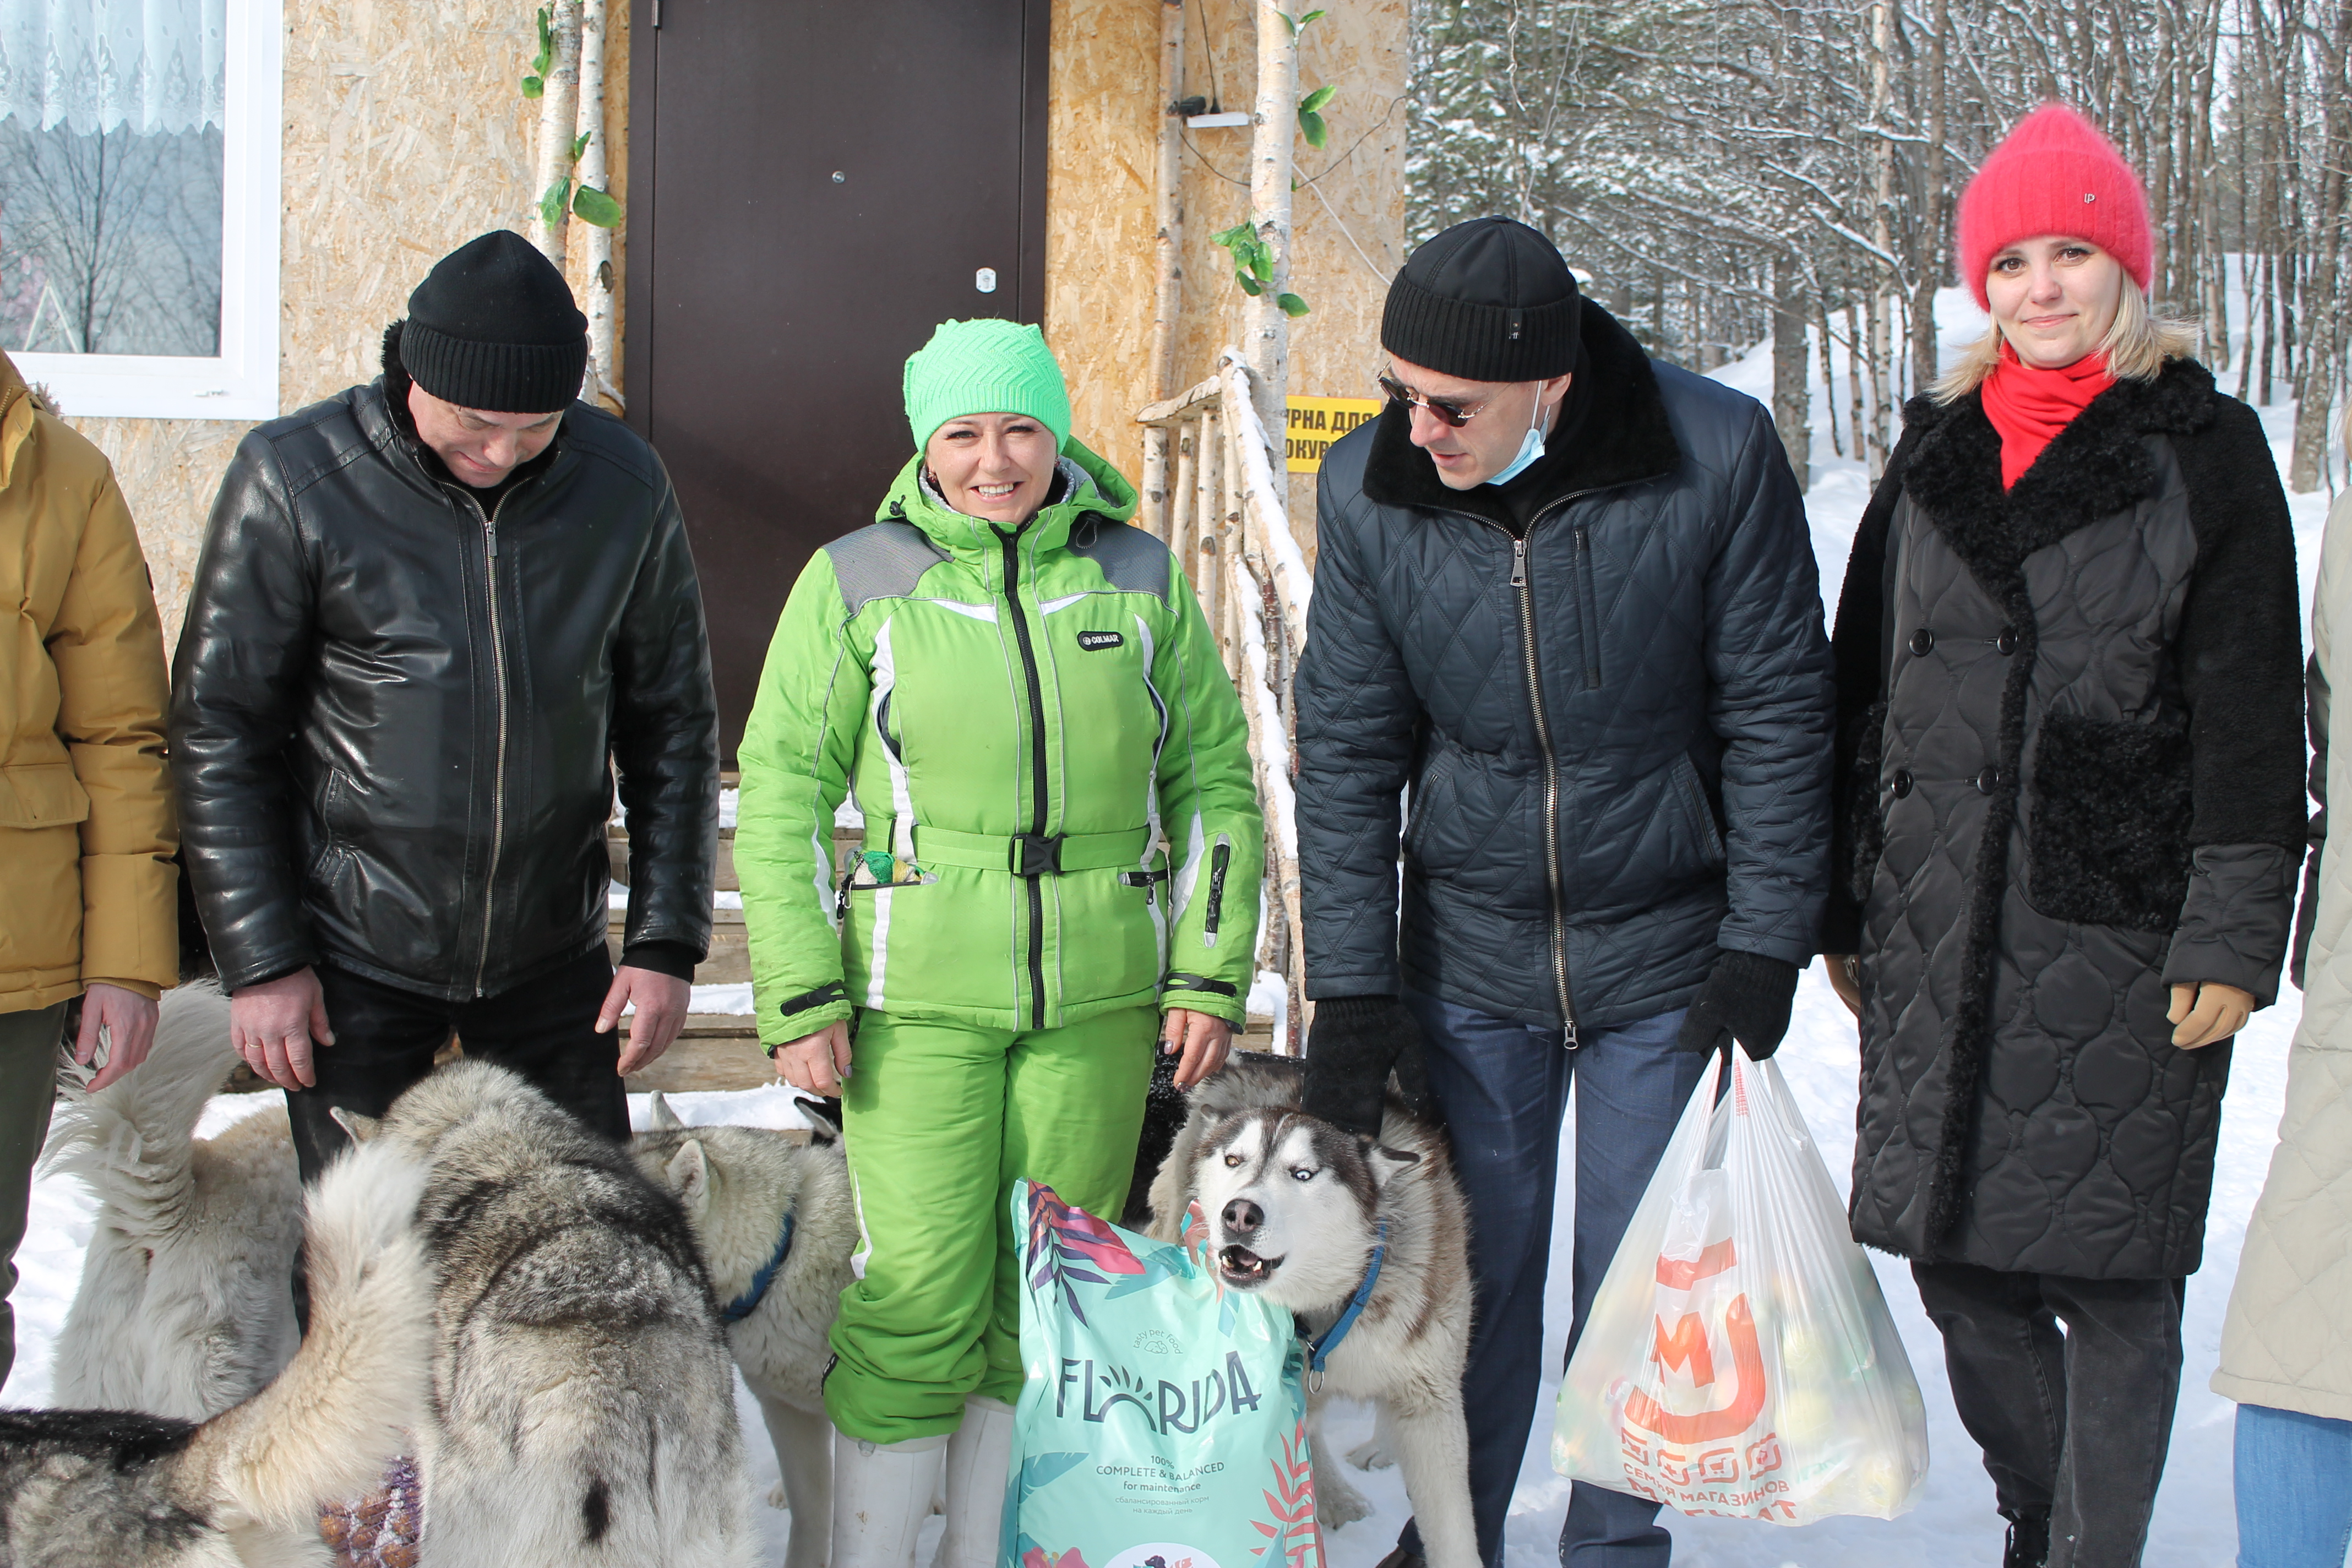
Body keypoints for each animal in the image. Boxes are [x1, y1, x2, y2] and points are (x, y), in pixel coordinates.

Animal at [1143, 1053, 1467, 1568]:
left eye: (1303, 1174)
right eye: (1234, 1161)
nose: (1239, 1214)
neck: (1334, 1303)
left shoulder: (1429, 1402)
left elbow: (1455, 1536)